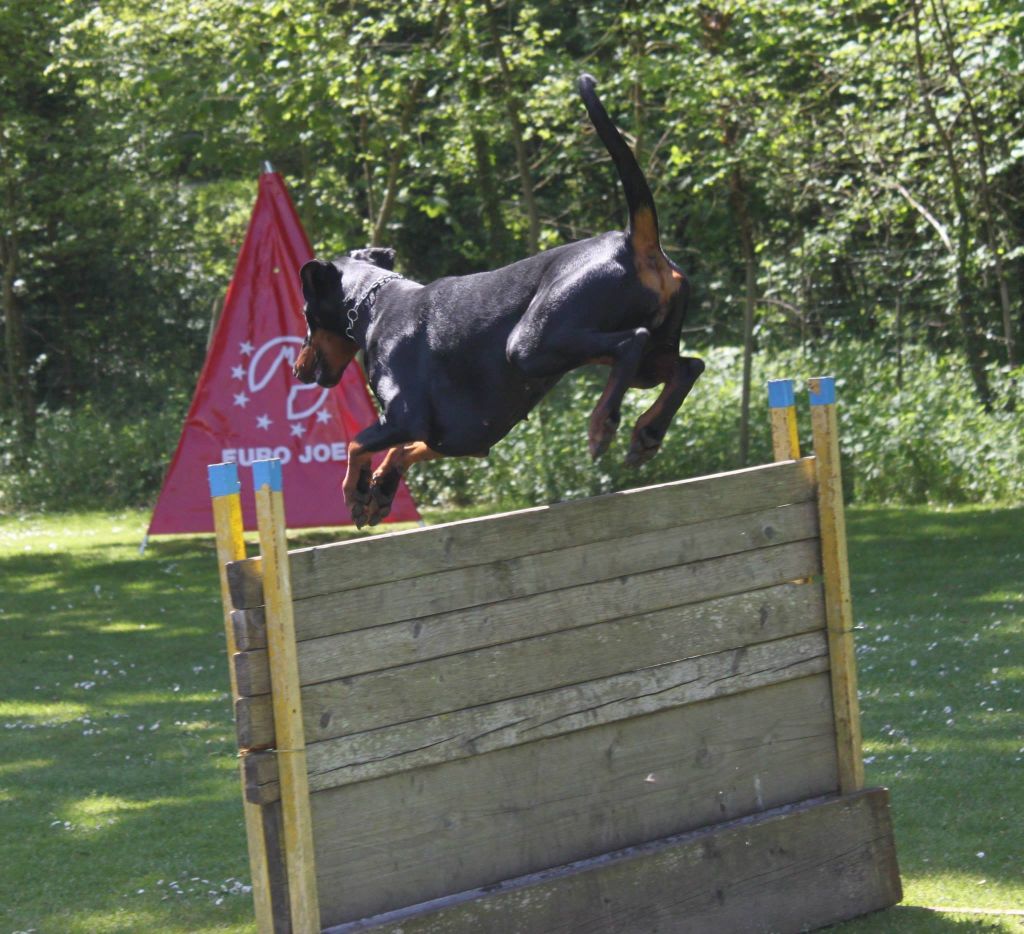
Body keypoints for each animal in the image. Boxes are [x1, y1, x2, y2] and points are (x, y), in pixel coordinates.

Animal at [292, 72, 700, 524]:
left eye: (307, 315)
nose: (297, 368)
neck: (374, 306)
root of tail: (633, 241)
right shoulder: (463, 436)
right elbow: (401, 451)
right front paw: (380, 489)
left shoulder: (407, 416)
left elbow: (357, 442)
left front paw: (355, 490)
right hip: (641, 356)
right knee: (687, 367)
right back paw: (646, 432)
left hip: (530, 345)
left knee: (633, 342)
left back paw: (602, 425)